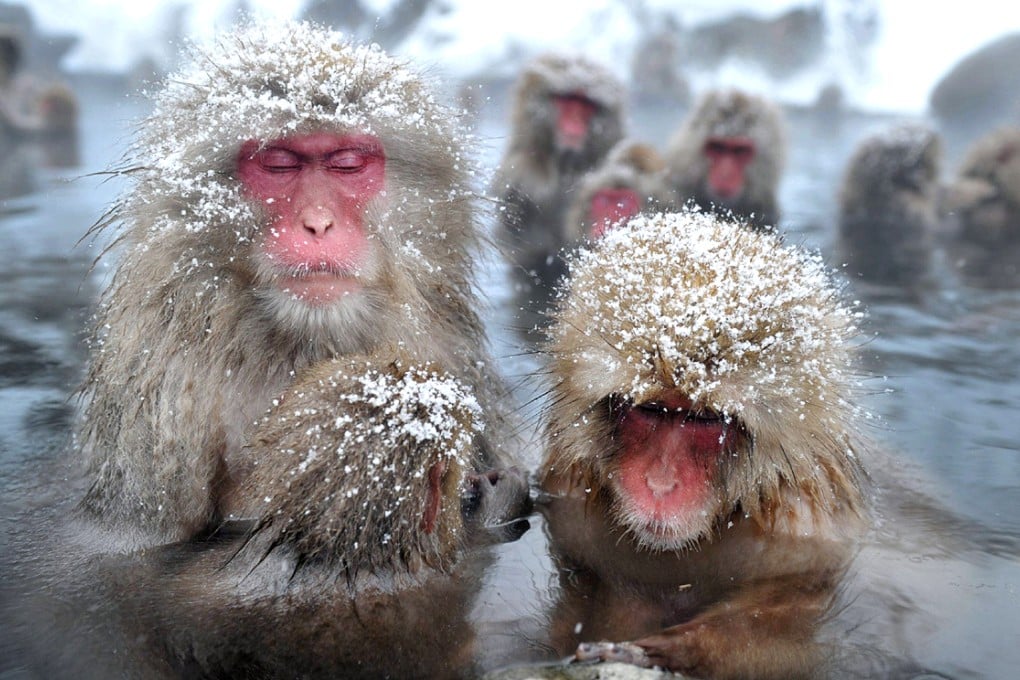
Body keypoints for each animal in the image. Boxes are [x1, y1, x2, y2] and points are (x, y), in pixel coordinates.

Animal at [537, 210, 869, 679]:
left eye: (704, 419)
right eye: (650, 410)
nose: (660, 484)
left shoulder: (807, 530)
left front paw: (668, 650)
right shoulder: (565, 490)